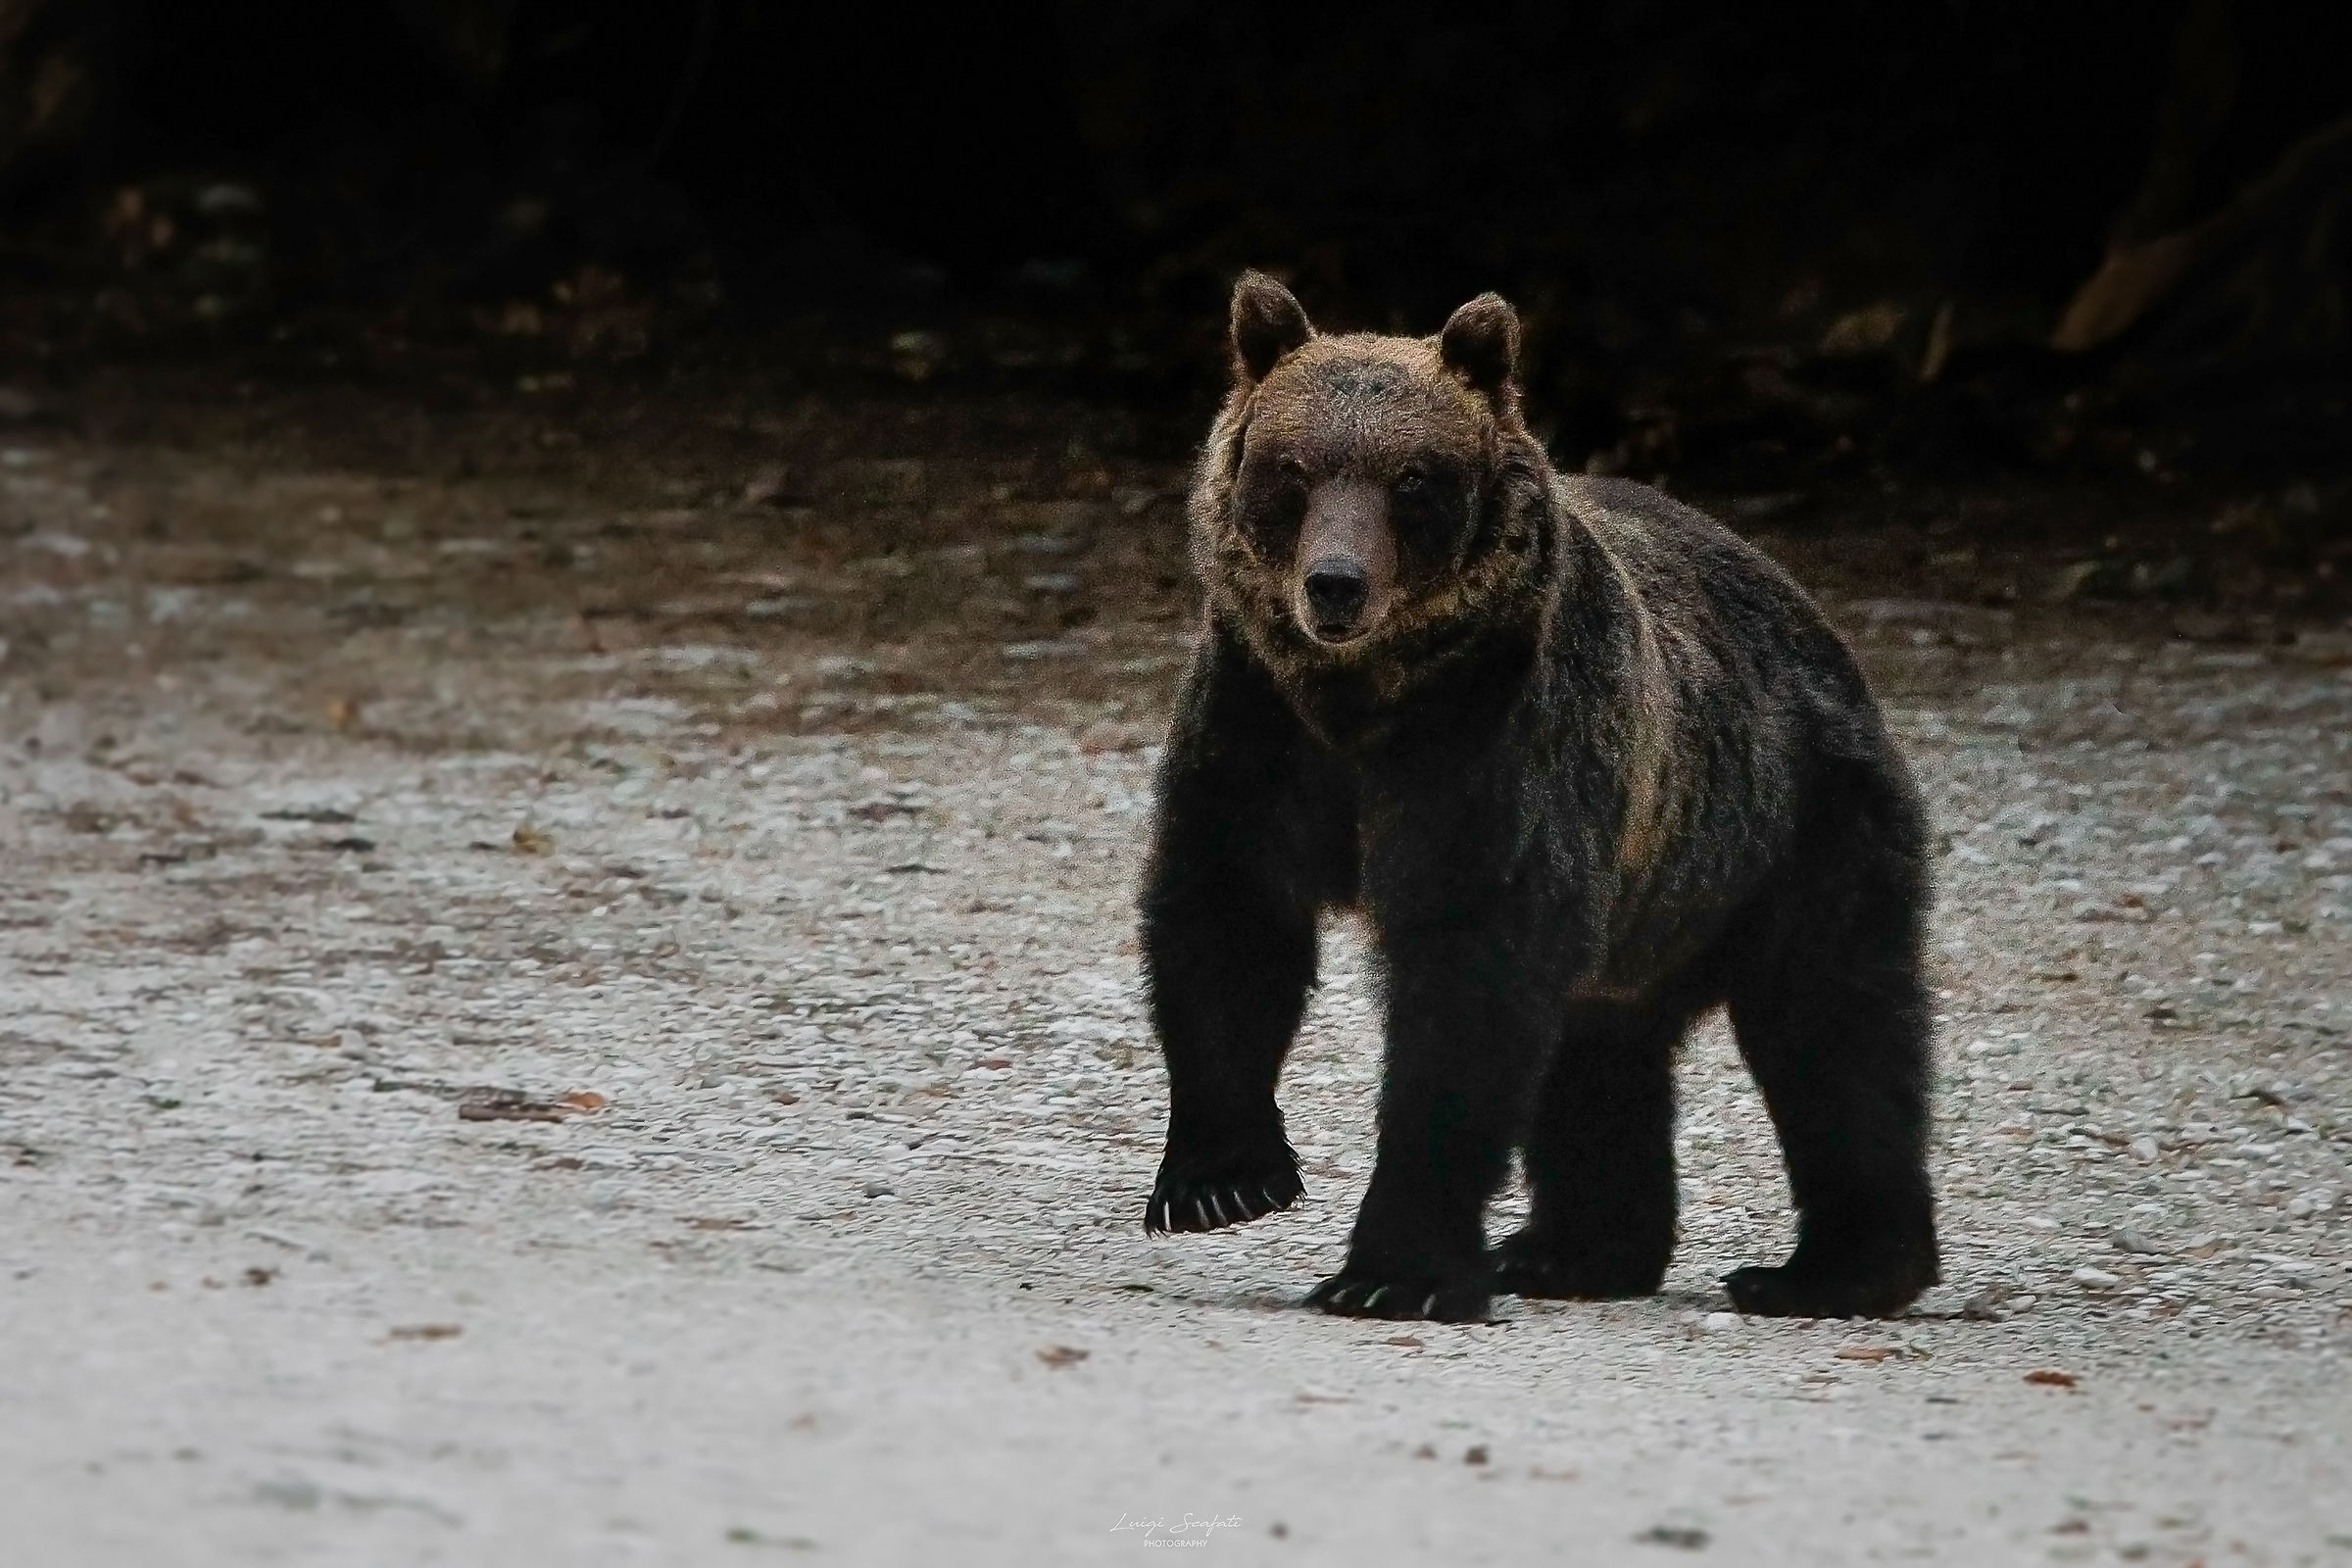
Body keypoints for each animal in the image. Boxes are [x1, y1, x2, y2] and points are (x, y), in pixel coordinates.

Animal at [1136, 272, 1939, 1323]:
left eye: (1412, 478)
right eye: (1293, 468)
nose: (1335, 585)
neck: (1363, 702)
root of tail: (1818, 621)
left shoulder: (1492, 748)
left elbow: (1467, 986)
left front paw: (1394, 1269)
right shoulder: (1257, 722)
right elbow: (1228, 918)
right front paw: (1222, 1178)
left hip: (1791, 827)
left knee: (1834, 1029)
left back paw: (1831, 1268)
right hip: (1641, 906)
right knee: (1598, 1057)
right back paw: (1572, 1252)